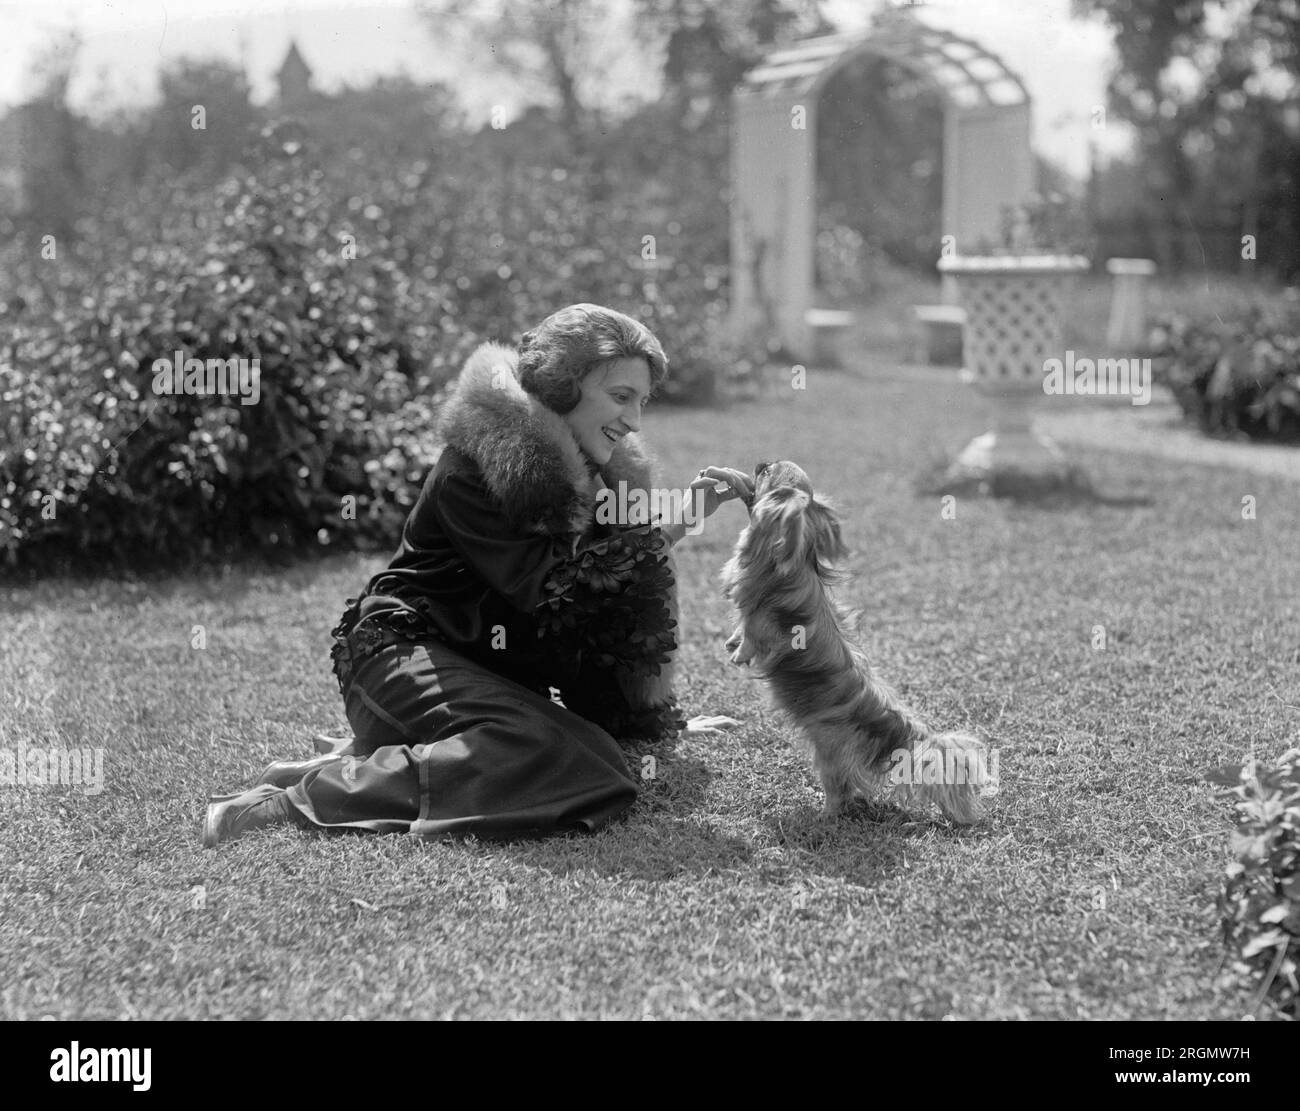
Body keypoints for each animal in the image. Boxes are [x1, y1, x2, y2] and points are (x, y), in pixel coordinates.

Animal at [722, 459, 993, 826]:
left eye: (767, 473)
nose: (760, 462)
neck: (795, 554)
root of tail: (901, 726)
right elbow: (740, 627)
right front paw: (732, 642)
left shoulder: (761, 622)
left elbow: (750, 633)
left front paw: (738, 653)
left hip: (829, 754)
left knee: (840, 791)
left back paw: (822, 816)